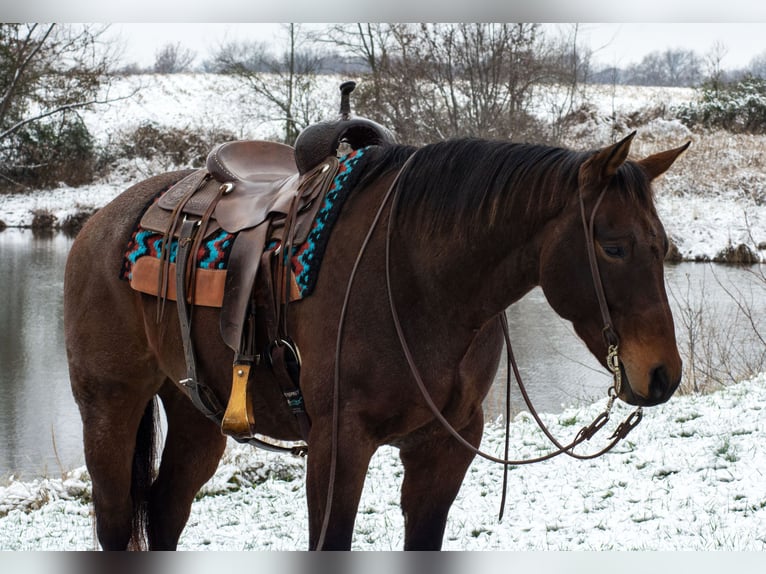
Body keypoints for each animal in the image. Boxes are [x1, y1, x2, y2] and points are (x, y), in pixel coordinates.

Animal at [64, 131, 688, 550]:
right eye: (612, 246)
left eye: (662, 245)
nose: (663, 375)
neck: (421, 280)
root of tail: (98, 223)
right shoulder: (338, 447)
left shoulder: (445, 448)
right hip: (110, 409)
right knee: (116, 523)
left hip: (197, 415)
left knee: (165, 513)